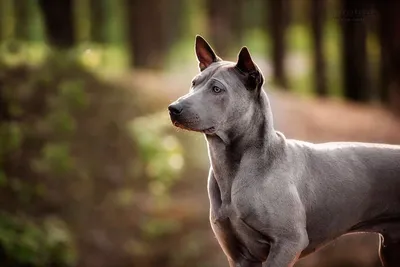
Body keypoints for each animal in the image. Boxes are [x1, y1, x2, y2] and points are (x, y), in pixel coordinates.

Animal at [167, 36, 400, 267]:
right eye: (194, 83)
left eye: (217, 89)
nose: (173, 108)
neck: (233, 169)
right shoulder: (239, 256)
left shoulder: (288, 242)